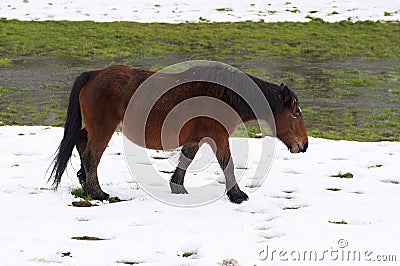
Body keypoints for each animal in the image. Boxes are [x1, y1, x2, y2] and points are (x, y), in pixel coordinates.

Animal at [48, 64, 308, 204]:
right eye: (296, 113)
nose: (304, 145)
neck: (224, 95)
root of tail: (94, 74)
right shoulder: (219, 136)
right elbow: (228, 164)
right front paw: (237, 194)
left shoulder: (197, 138)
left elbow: (186, 160)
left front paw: (177, 187)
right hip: (103, 128)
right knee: (91, 154)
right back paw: (98, 192)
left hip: (96, 128)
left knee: (81, 142)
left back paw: (85, 183)